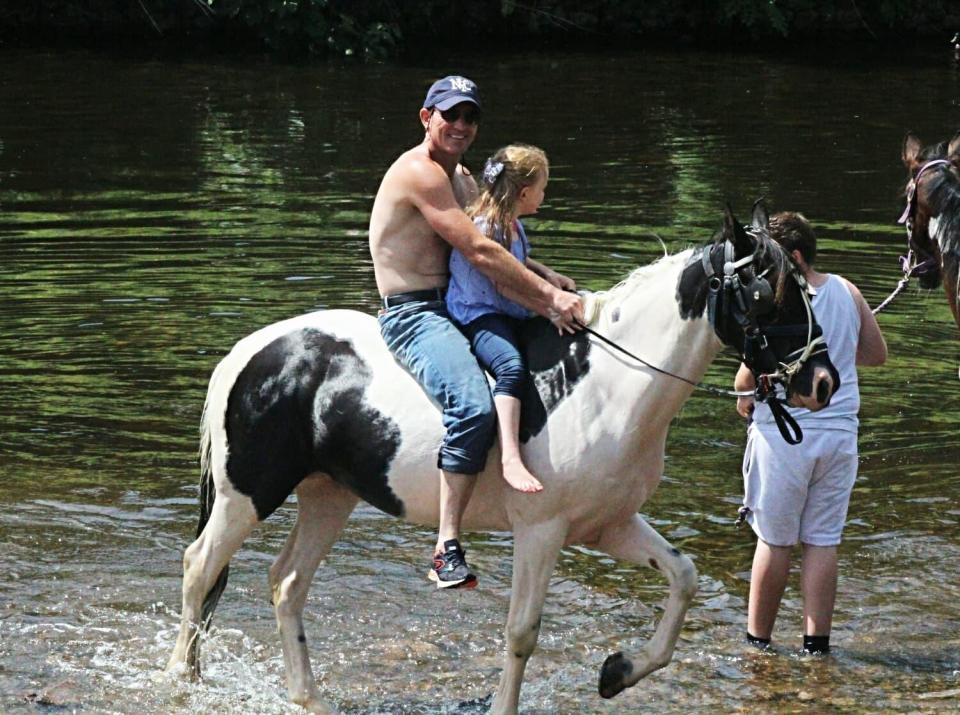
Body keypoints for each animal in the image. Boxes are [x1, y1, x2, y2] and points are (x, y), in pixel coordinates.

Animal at [169, 204, 836, 712]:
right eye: (765, 294)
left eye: (806, 290)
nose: (822, 381)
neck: (605, 384)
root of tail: (251, 352)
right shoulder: (541, 529)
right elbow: (521, 632)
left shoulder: (608, 524)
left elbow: (683, 577)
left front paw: (618, 672)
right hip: (247, 494)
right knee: (201, 567)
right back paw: (182, 677)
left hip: (328, 495)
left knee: (286, 584)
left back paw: (308, 696)